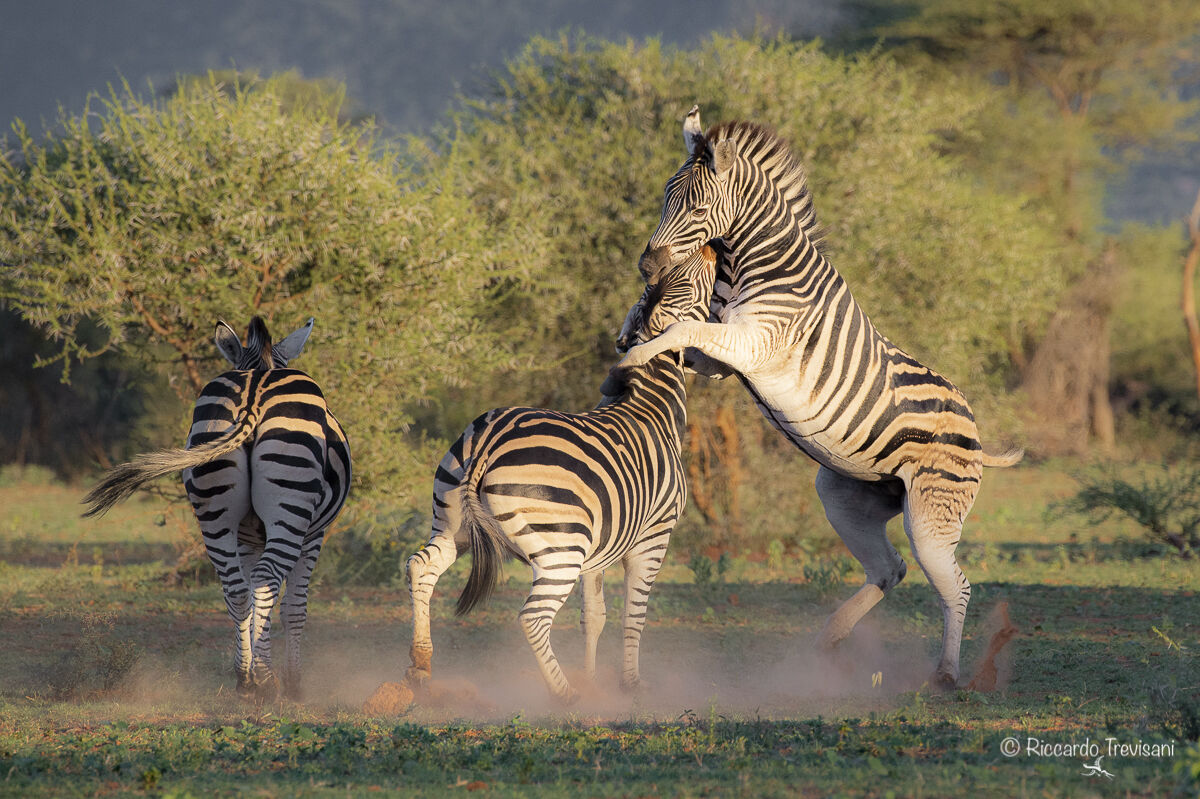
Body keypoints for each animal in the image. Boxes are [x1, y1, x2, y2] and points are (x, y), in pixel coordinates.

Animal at [83, 316, 351, 700]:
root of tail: (254, 391)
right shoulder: (315, 533)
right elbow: (293, 607)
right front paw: (295, 682)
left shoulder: (246, 537)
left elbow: (252, 600)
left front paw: (253, 668)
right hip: (291, 506)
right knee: (265, 579)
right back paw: (267, 680)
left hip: (213, 504)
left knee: (236, 590)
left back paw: (245, 679)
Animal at [404, 245, 718, 704]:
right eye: (691, 275)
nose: (713, 248)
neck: (650, 404)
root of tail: (486, 444)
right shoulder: (652, 538)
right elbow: (634, 615)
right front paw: (629, 684)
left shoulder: (598, 549)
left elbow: (595, 616)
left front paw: (593, 678)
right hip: (560, 549)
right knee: (533, 618)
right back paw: (564, 694)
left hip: (453, 524)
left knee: (421, 567)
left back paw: (421, 664)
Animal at [617, 107, 1022, 688]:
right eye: (664, 197)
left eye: (695, 206)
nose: (647, 268)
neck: (755, 267)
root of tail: (977, 433)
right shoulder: (723, 360)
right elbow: (684, 332)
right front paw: (631, 329)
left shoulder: (756, 343)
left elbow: (681, 330)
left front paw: (634, 355)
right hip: (847, 495)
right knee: (890, 568)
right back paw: (831, 640)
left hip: (931, 514)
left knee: (955, 585)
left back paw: (945, 676)